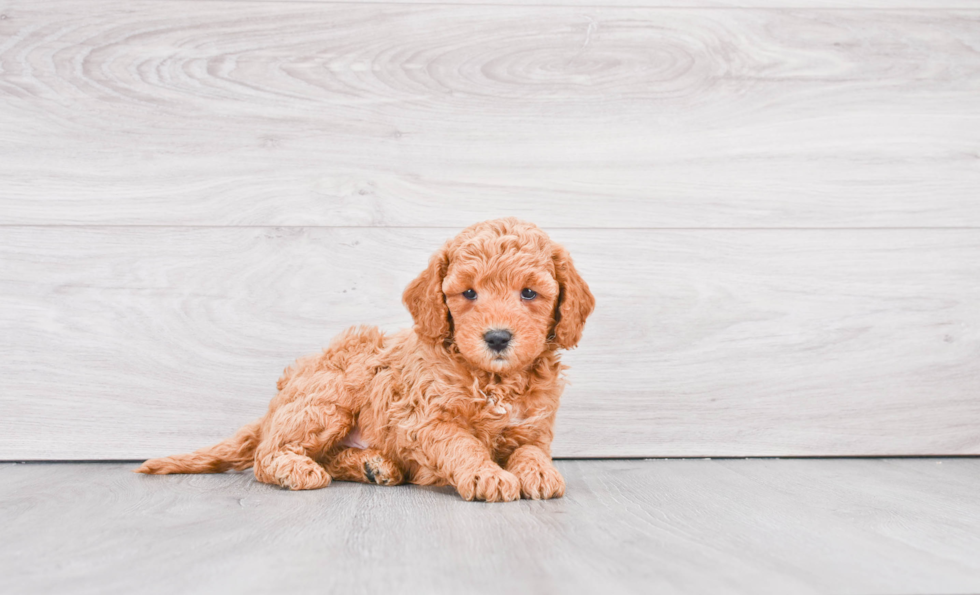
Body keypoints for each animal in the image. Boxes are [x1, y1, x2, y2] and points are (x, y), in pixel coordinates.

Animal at [136, 217, 596, 500]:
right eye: (468, 293)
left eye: (529, 293)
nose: (498, 337)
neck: (494, 380)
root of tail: (273, 407)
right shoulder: (424, 420)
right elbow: (462, 443)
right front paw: (487, 474)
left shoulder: (532, 427)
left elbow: (530, 451)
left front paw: (539, 472)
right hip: (329, 396)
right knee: (266, 455)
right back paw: (298, 469)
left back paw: (375, 466)